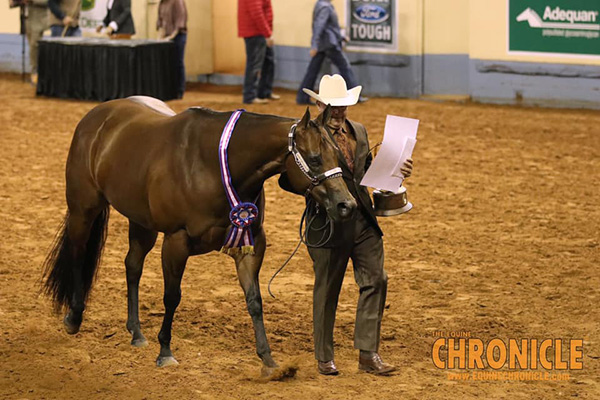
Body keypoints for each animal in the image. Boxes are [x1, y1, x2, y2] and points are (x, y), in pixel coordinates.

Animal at [43, 97, 356, 372]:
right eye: (314, 159)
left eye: (338, 155)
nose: (347, 205)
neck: (214, 165)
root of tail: (96, 115)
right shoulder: (176, 241)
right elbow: (172, 296)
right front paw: (165, 352)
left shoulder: (251, 244)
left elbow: (254, 300)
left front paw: (268, 360)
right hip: (84, 209)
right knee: (78, 253)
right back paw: (74, 317)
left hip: (141, 222)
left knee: (132, 265)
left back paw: (136, 332)